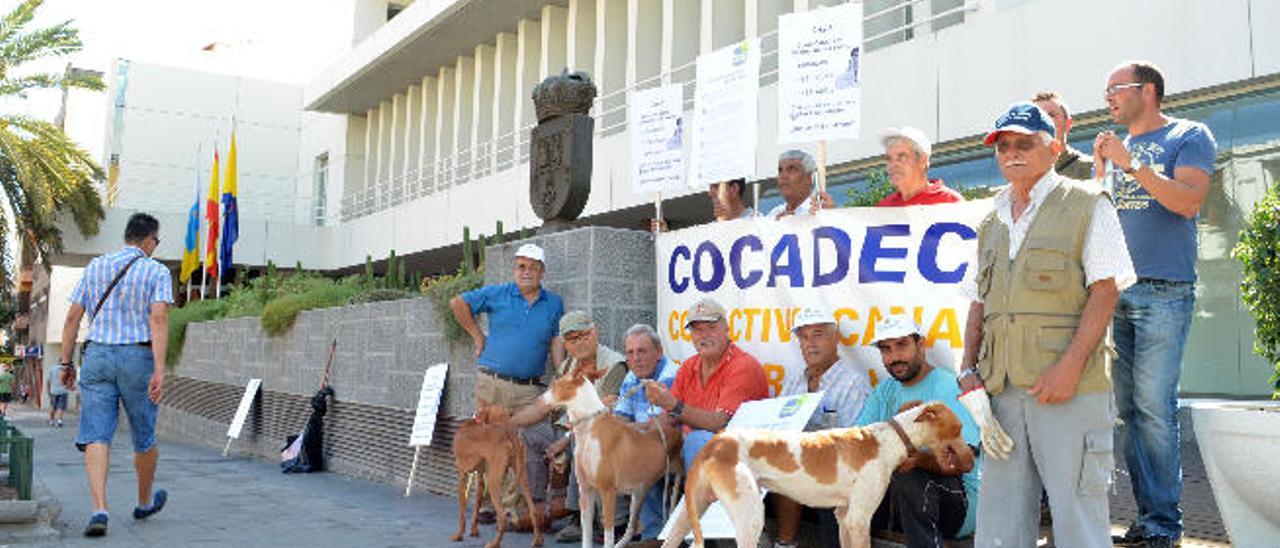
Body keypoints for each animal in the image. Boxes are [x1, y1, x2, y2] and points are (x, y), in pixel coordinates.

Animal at [450, 399, 540, 545]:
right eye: (506, 415)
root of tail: (509, 434)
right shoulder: (481, 478)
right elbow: (476, 507)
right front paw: (474, 530)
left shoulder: (462, 474)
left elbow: (462, 510)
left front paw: (459, 535)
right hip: (522, 477)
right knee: (533, 510)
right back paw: (538, 541)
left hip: (493, 482)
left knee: (502, 518)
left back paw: (494, 544)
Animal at [540, 368, 686, 548]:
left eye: (556, 386)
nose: (539, 400)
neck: (589, 430)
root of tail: (676, 428)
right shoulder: (586, 491)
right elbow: (586, 536)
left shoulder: (608, 493)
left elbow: (608, 536)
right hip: (638, 493)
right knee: (631, 529)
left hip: (676, 478)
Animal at [660, 399, 967, 545]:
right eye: (960, 428)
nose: (972, 455)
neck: (888, 438)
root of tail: (715, 443)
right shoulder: (859, 519)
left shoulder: (844, 517)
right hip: (750, 518)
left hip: (688, 515)